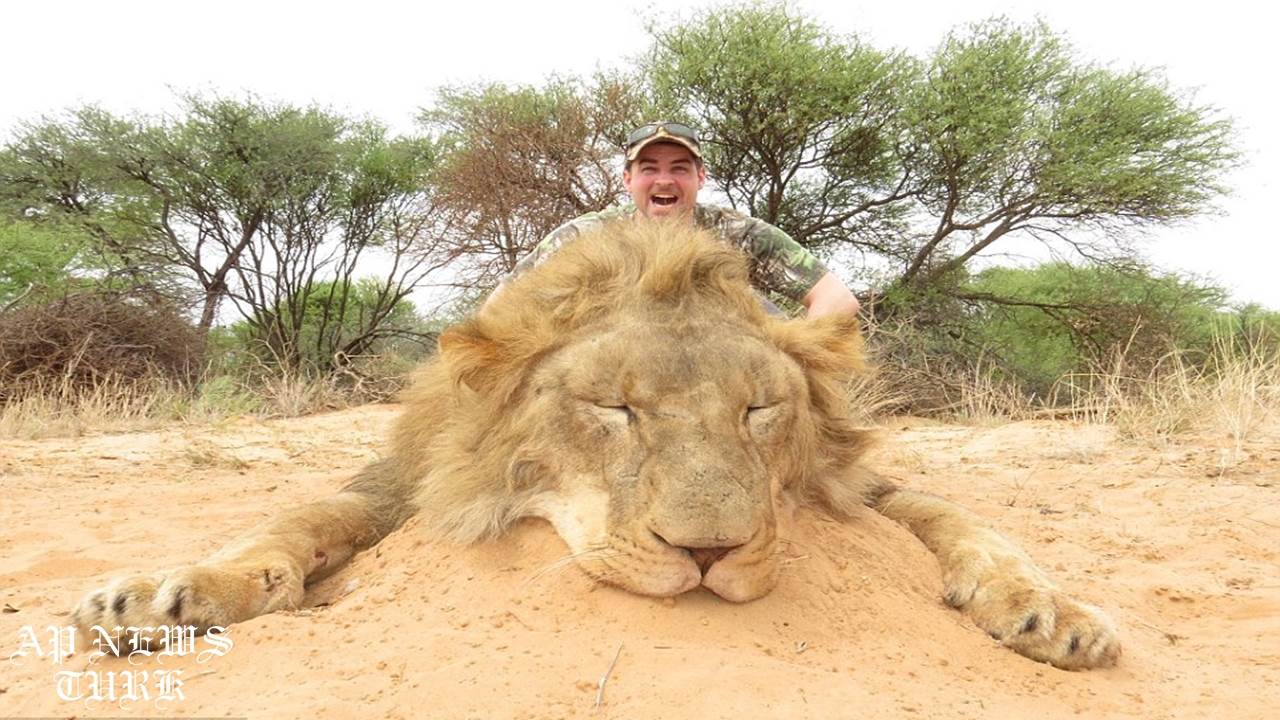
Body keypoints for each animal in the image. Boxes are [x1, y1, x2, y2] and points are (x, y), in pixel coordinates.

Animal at [72, 221, 1120, 670]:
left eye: (759, 411)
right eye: (614, 409)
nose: (708, 555)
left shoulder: (850, 482)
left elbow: (958, 515)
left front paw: (1052, 609)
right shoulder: (410, 476)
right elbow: (300, 515)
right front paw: (166, 595)